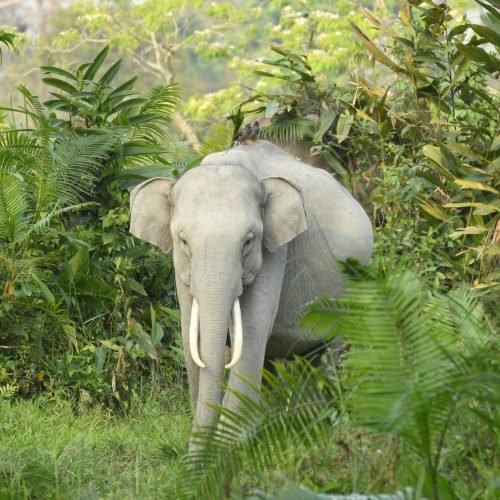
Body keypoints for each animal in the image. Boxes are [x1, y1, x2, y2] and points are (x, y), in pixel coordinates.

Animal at [128, 139, 372, 436]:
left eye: (248, 241)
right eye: (183, 241)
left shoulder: (274, 251)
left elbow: (253, 329)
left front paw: (227, 443)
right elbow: (190, 333)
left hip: (348, 292)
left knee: (323, 353)